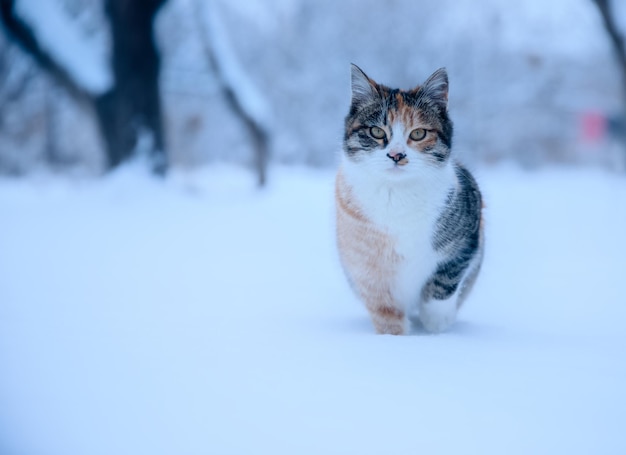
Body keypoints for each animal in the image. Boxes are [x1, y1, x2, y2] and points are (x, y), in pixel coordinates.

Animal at [334, 64, 480, 334]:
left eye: (419, 133)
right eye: (377, 131)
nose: (396, 155)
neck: (396, 194)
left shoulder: (468, 235)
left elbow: (444, 281)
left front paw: (437, 323)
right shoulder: (365, 264)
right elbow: (383, 306)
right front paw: (395, 337)